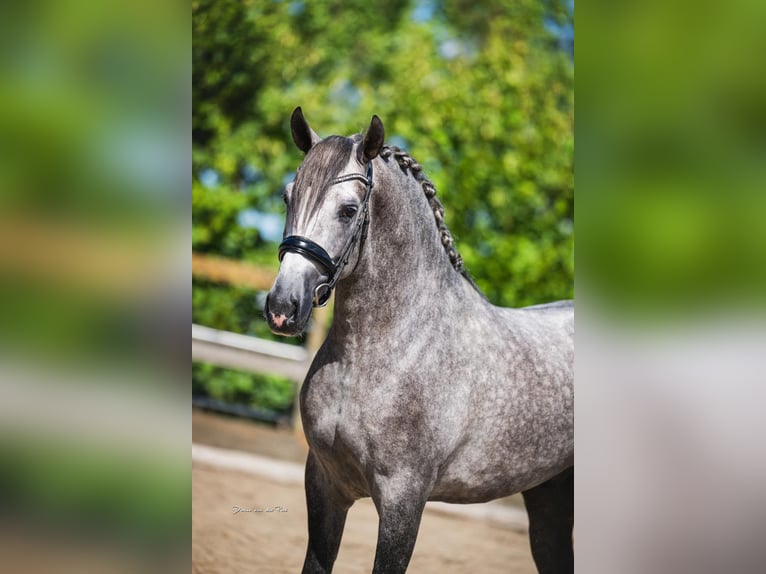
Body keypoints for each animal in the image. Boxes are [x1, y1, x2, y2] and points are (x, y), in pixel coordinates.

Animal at [264, 107, 573, 574]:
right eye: (288, 197)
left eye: (349, 210)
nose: (282, 307)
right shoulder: (324, 485)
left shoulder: (403, 501)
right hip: (549, 496)